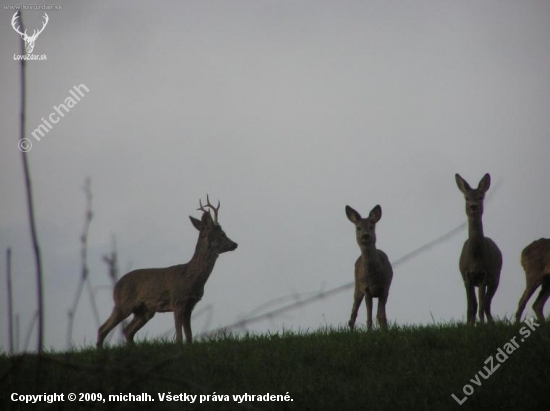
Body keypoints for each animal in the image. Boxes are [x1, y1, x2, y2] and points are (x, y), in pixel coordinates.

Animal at [96, 197, 237, 348]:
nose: (235, 244)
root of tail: (116, 285)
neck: (190, 278)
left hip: (145, 311)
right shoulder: (177, 301)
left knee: (127, 331)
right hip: (123, 304)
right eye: (222, 234)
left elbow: (189, 335)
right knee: (103, 328)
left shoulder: (190, 304)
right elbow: (179, 335)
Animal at [458, 173, 504, 326]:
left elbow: (481, 305)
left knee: (487, 303)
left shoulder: (484, 275)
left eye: (480, 197)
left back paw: (490, 323)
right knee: (482, 303)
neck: (476, 258)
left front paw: (482, 324)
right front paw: (469, 325)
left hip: (496, 278)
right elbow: (471, 306)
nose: (473, 206)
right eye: (466, 198)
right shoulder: (466, 276)